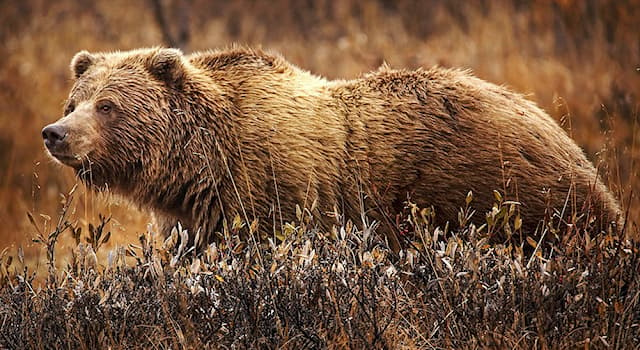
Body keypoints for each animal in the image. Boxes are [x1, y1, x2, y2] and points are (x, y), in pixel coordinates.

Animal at [41, 47, 620, 249]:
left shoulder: (273, 193)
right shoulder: (197, 215)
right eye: (75, 99)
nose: (55, 133)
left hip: (506, 196)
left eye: (108, 105)